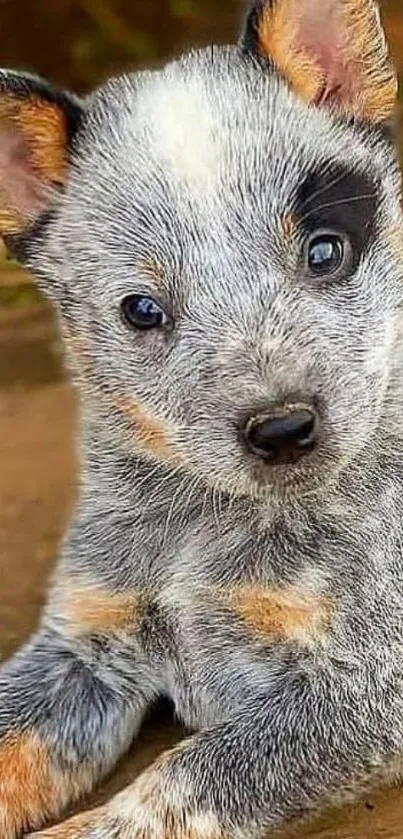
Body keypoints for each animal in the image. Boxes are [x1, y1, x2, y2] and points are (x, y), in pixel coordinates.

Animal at [0, 0, 403, 836]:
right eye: (140, 310)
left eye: (325, 251)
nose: (282, 427)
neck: (199, 521)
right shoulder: (84, 639)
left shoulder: (370, 683)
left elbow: (178, 778)